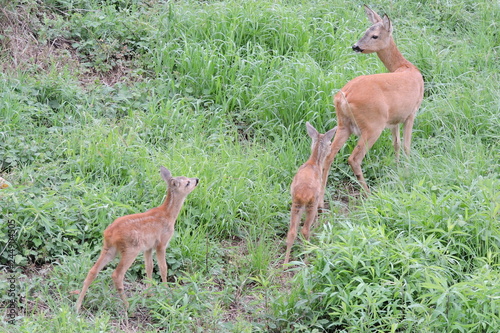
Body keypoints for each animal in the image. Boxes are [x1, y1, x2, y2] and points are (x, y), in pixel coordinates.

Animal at [75, 166, 198, 312]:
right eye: (187, 183)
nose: (197, 179)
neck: (168, 215)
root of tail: (109, 233)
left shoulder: (148, 247)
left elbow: (149, 267)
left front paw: (149, 293)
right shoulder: (161, 243)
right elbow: (163, 268)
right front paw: (166, 293)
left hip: (109, 249)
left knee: (93, 270)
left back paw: (77, 306)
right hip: (130, 249)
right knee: (117, 274)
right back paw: (128, 306)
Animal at [286, 120, 336, 264]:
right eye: (330, 143)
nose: (331, 149)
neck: (314, 162)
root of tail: (303, 195)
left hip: (295, 203)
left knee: (292, 231)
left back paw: (285, 265)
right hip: (311, 204)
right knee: (304, 230)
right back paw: (307, 259)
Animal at [320, 5, 422, 202]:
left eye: (373, 35)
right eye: (366, 32)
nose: (355, 46)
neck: (405, 67)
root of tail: (344, 96)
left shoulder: (394, 119)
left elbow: (396, 144)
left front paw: (397, 168)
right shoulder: (411, 112)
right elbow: (407, 145)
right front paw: (407, 171)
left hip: (344, 124)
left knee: (328, 155)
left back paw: (320, 199)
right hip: (373, 125)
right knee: (354, 158)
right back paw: (368, 194)